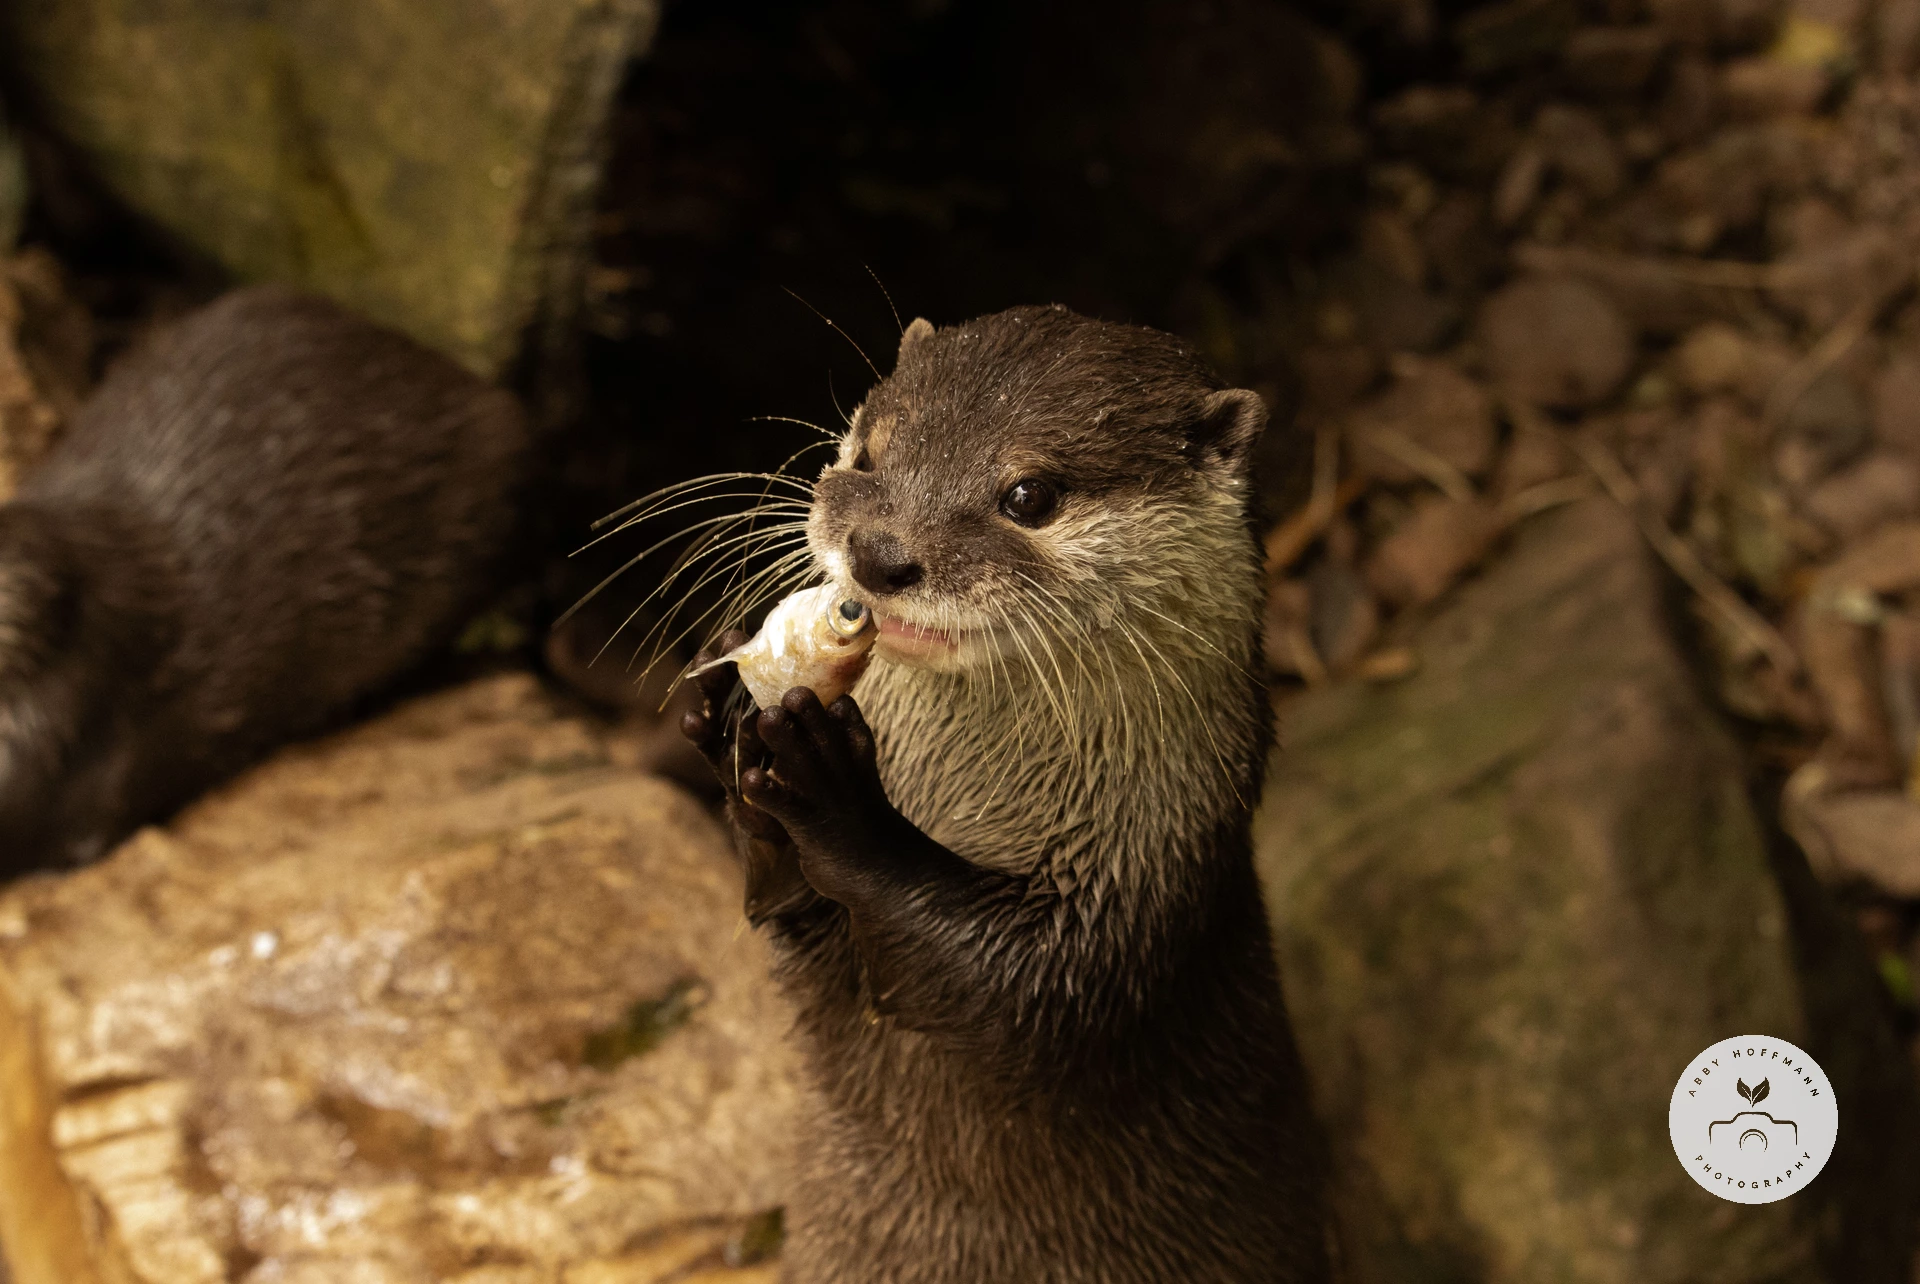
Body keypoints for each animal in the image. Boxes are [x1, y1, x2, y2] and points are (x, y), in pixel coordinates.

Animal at [682, 305, 1331, 1282]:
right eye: (867, 450)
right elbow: (784, 913)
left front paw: (840, 798)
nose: (879, 554)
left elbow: (1023, 999)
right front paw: (727, 718)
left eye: (1029, 496)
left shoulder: (1147, 869)